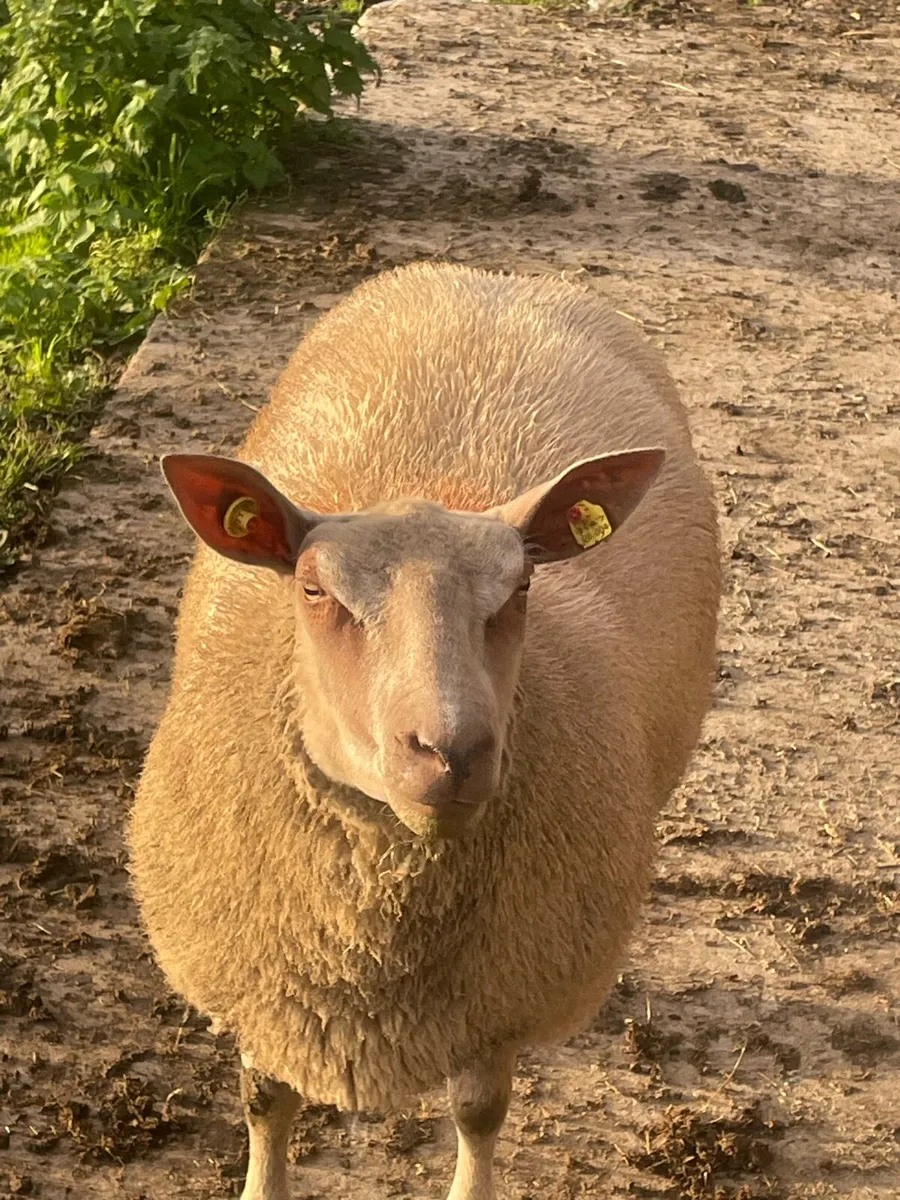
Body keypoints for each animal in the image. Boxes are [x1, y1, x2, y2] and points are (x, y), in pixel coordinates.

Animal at [129, 262, 720, 1200]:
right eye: (313, 590)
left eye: (522, 588)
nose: (454, 751)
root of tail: (493, 280)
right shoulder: (264, 984)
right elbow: (266, 1101)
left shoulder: (496, 1007)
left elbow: (478, 1116)